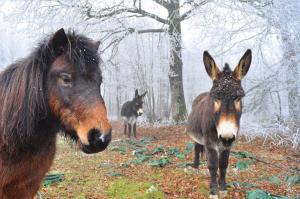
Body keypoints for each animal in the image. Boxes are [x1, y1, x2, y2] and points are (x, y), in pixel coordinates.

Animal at [186, 49, 252, 197]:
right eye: (215, 97)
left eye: (239, 97)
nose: (226, 137)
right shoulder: (210, 143)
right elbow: (212, 165)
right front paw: (213, 191)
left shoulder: (227, 145)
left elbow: (223, 164)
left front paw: (222, 188)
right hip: (199, 137)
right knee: (197, 148)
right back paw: (195, 166)